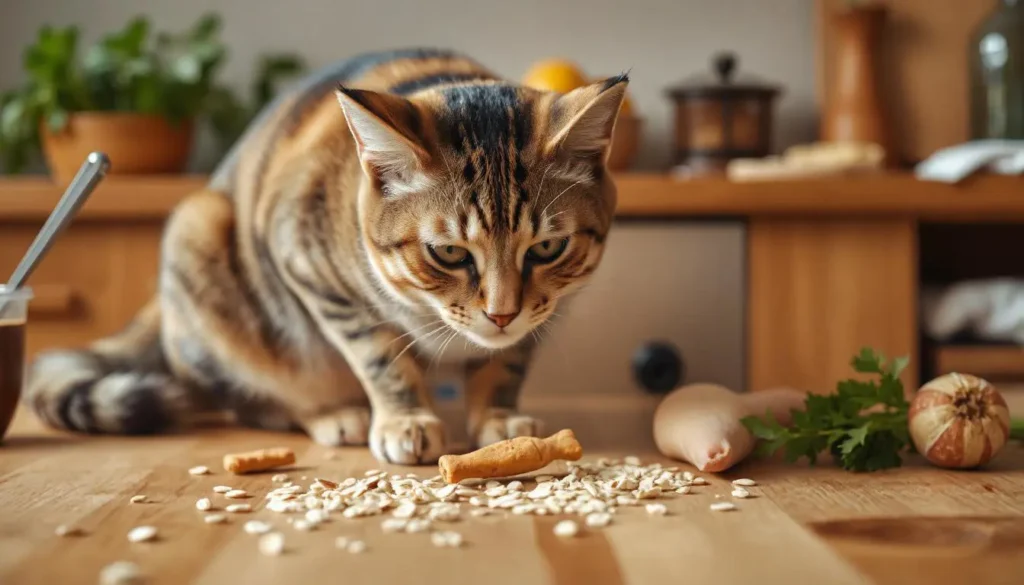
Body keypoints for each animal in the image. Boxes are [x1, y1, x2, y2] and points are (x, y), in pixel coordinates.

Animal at [28, 48, 626, 465]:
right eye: (449, 253)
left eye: (547, 247)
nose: (502, 314)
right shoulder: (307, 263)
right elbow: (381, 356)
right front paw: (406, 420)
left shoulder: (544, 313)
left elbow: (506, 363)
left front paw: (500, 419)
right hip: (199, 237)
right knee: (258, 396)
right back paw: (334, 414)